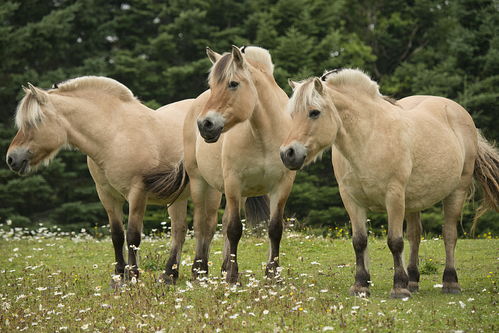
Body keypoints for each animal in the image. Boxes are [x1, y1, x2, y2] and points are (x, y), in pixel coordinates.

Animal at [6, 76, 192, 284]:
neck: (114, 135)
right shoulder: (106, 194)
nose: (11, 159)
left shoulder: (137, 193)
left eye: (36, 121)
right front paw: (119, 276)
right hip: (178, 198)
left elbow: (133, 236)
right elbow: (117, 235)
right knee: (179, 230)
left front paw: (133, 276)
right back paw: (169, 276)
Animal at [185, 45, 296, 282]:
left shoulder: (282, 186)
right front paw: (233, 277)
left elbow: (275, 229)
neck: (264, 135)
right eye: (212, 86)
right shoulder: (233, 183)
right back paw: (199, 270)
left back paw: (223, 266)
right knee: (202, 226)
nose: (205, 124)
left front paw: (272, 274)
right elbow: (234, 229)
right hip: (201, 183)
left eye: (233, 84)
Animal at [282, 68, 499, 296]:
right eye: (292, 115)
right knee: (415, 236)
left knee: (449, 234)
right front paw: (360, 285)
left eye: (314, 112)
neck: (368, 139)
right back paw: (413, 281)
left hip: (456, 191)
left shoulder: (393, 196)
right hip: (413, 201)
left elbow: (395, 242)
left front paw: (399, 288)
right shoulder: (351, 199)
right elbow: (359, 241)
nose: (288, 154)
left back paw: (450, 282)